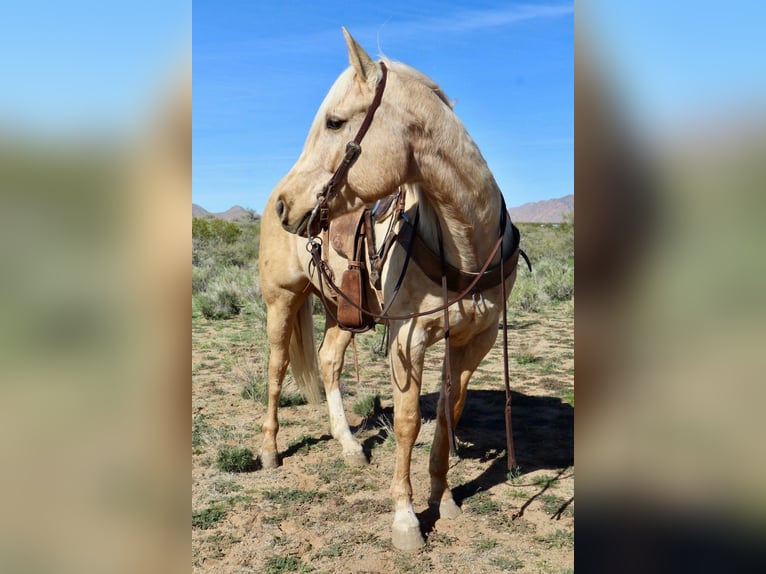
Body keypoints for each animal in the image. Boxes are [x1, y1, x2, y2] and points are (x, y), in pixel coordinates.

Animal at [258, 27, 521, 551]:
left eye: (335, 122)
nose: (285, 206)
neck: (465, 242)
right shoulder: (407, 339)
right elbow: (407, 422)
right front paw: (405, 519)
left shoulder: (475, 340)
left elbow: (449, 411)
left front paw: (444, 498)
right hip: (282, 301)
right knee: (277, 370)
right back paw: (271, 449)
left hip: (342, 311)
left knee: (328, 362)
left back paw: (350, 446)